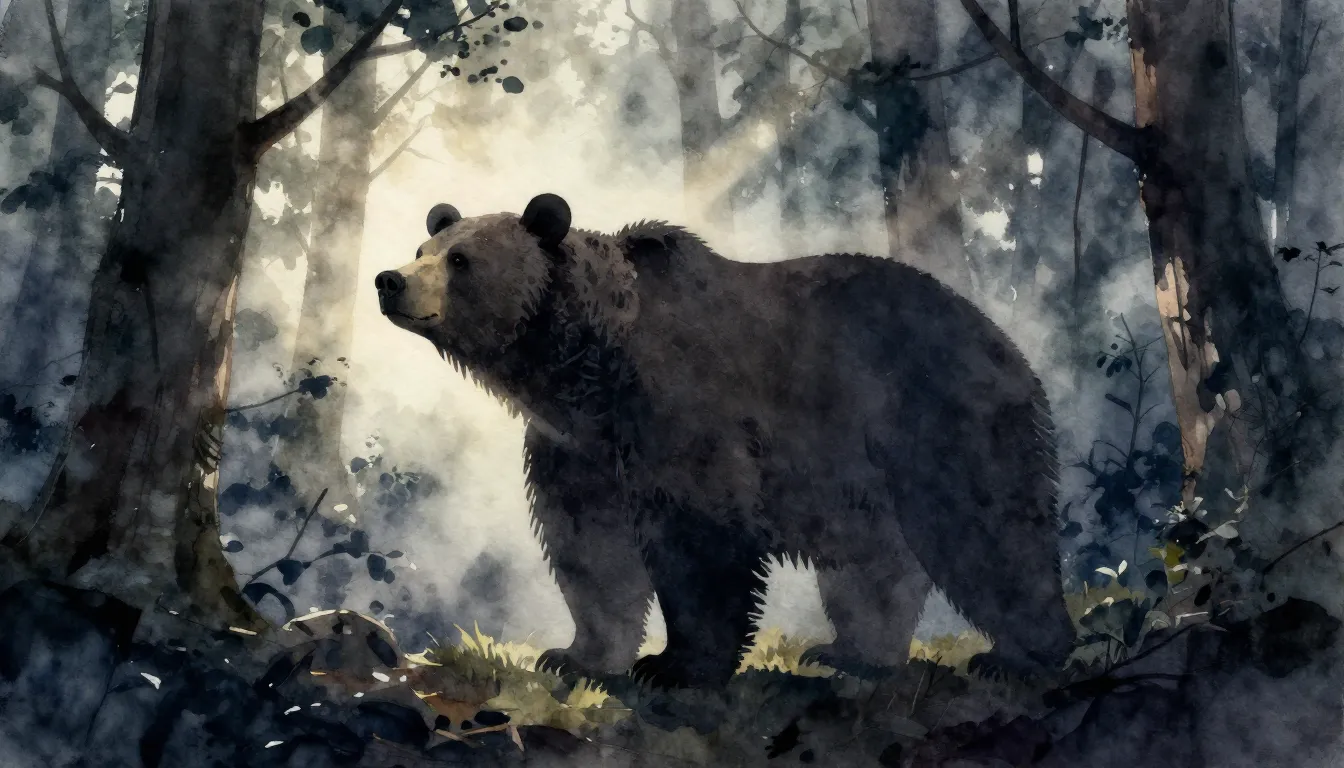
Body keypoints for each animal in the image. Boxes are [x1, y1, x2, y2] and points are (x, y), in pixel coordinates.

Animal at [373, 193, 1076, 688]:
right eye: (423, 245)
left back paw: (1020, 656)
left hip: (937, 415)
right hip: (854, 470)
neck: (587, 367)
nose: (390, 280)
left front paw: (673, 666)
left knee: (990, 530)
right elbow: (588, 547)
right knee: (872, 558)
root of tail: (1003, 335)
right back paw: (853, 652)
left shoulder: (682, 408)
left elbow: (698, 536)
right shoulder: (576, 448)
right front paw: (576, 655)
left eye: (460, 260)